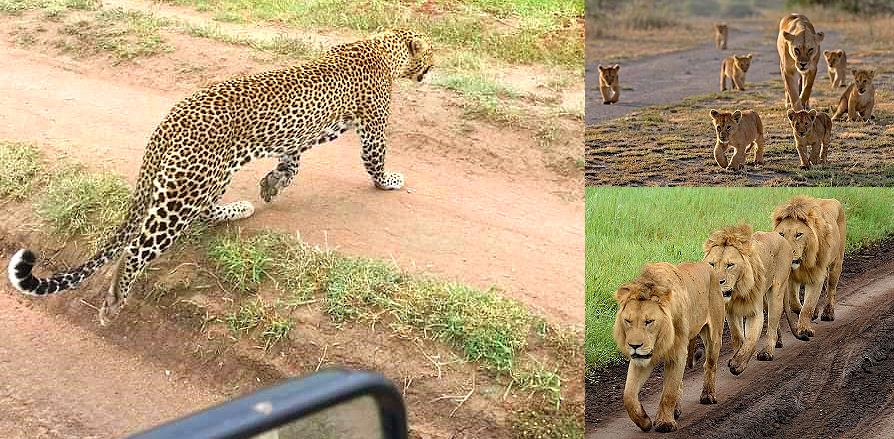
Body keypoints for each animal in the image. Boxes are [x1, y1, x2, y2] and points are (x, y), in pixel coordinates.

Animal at [7, 27, 434, 324]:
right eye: (431, 49)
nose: (439, 62)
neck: (384, 47)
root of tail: (169, 122)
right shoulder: (372, 128)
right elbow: (375, 161)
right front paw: (390, 182)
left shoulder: (307, 132)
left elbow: (292, 160)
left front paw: (271, 185)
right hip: (185, 192)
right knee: (137, 248)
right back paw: (114, 300)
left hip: (210, 177)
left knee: (204, 212)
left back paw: (241, 208)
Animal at [612, 262, 724, 434]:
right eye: (628, 321)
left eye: (649, 321)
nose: (634, 346)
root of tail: (707, 266)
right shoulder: (642, 358)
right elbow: (629, 395)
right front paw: (644, 421)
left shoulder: (678, 353)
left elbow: (669, 392)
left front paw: (665, 423)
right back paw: (676, 410)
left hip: (714, 337)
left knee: (710, 365)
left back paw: (708, 396)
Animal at [704, 225, 796, 376]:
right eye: (712, 264)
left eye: (730, 265)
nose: (717, 282)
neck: (737, 291)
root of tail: (781, 237)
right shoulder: (730, 311)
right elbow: (737, 335)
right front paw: (735, 357)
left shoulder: (755, 312)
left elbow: (751, 339)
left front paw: (738, 364)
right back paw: (779, 342)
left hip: (776, 292)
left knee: (772, 324)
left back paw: (767, 352)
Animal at [772, 196, 844, 340]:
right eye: (781, 234)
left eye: (798, 234)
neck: (803, 262)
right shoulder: (791, 278)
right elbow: (795, 304)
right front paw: (814, 313)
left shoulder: (817, 276)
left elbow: (808, 307)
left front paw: (805, 329)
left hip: (836, 264)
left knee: (831, 290)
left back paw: (828, 313)